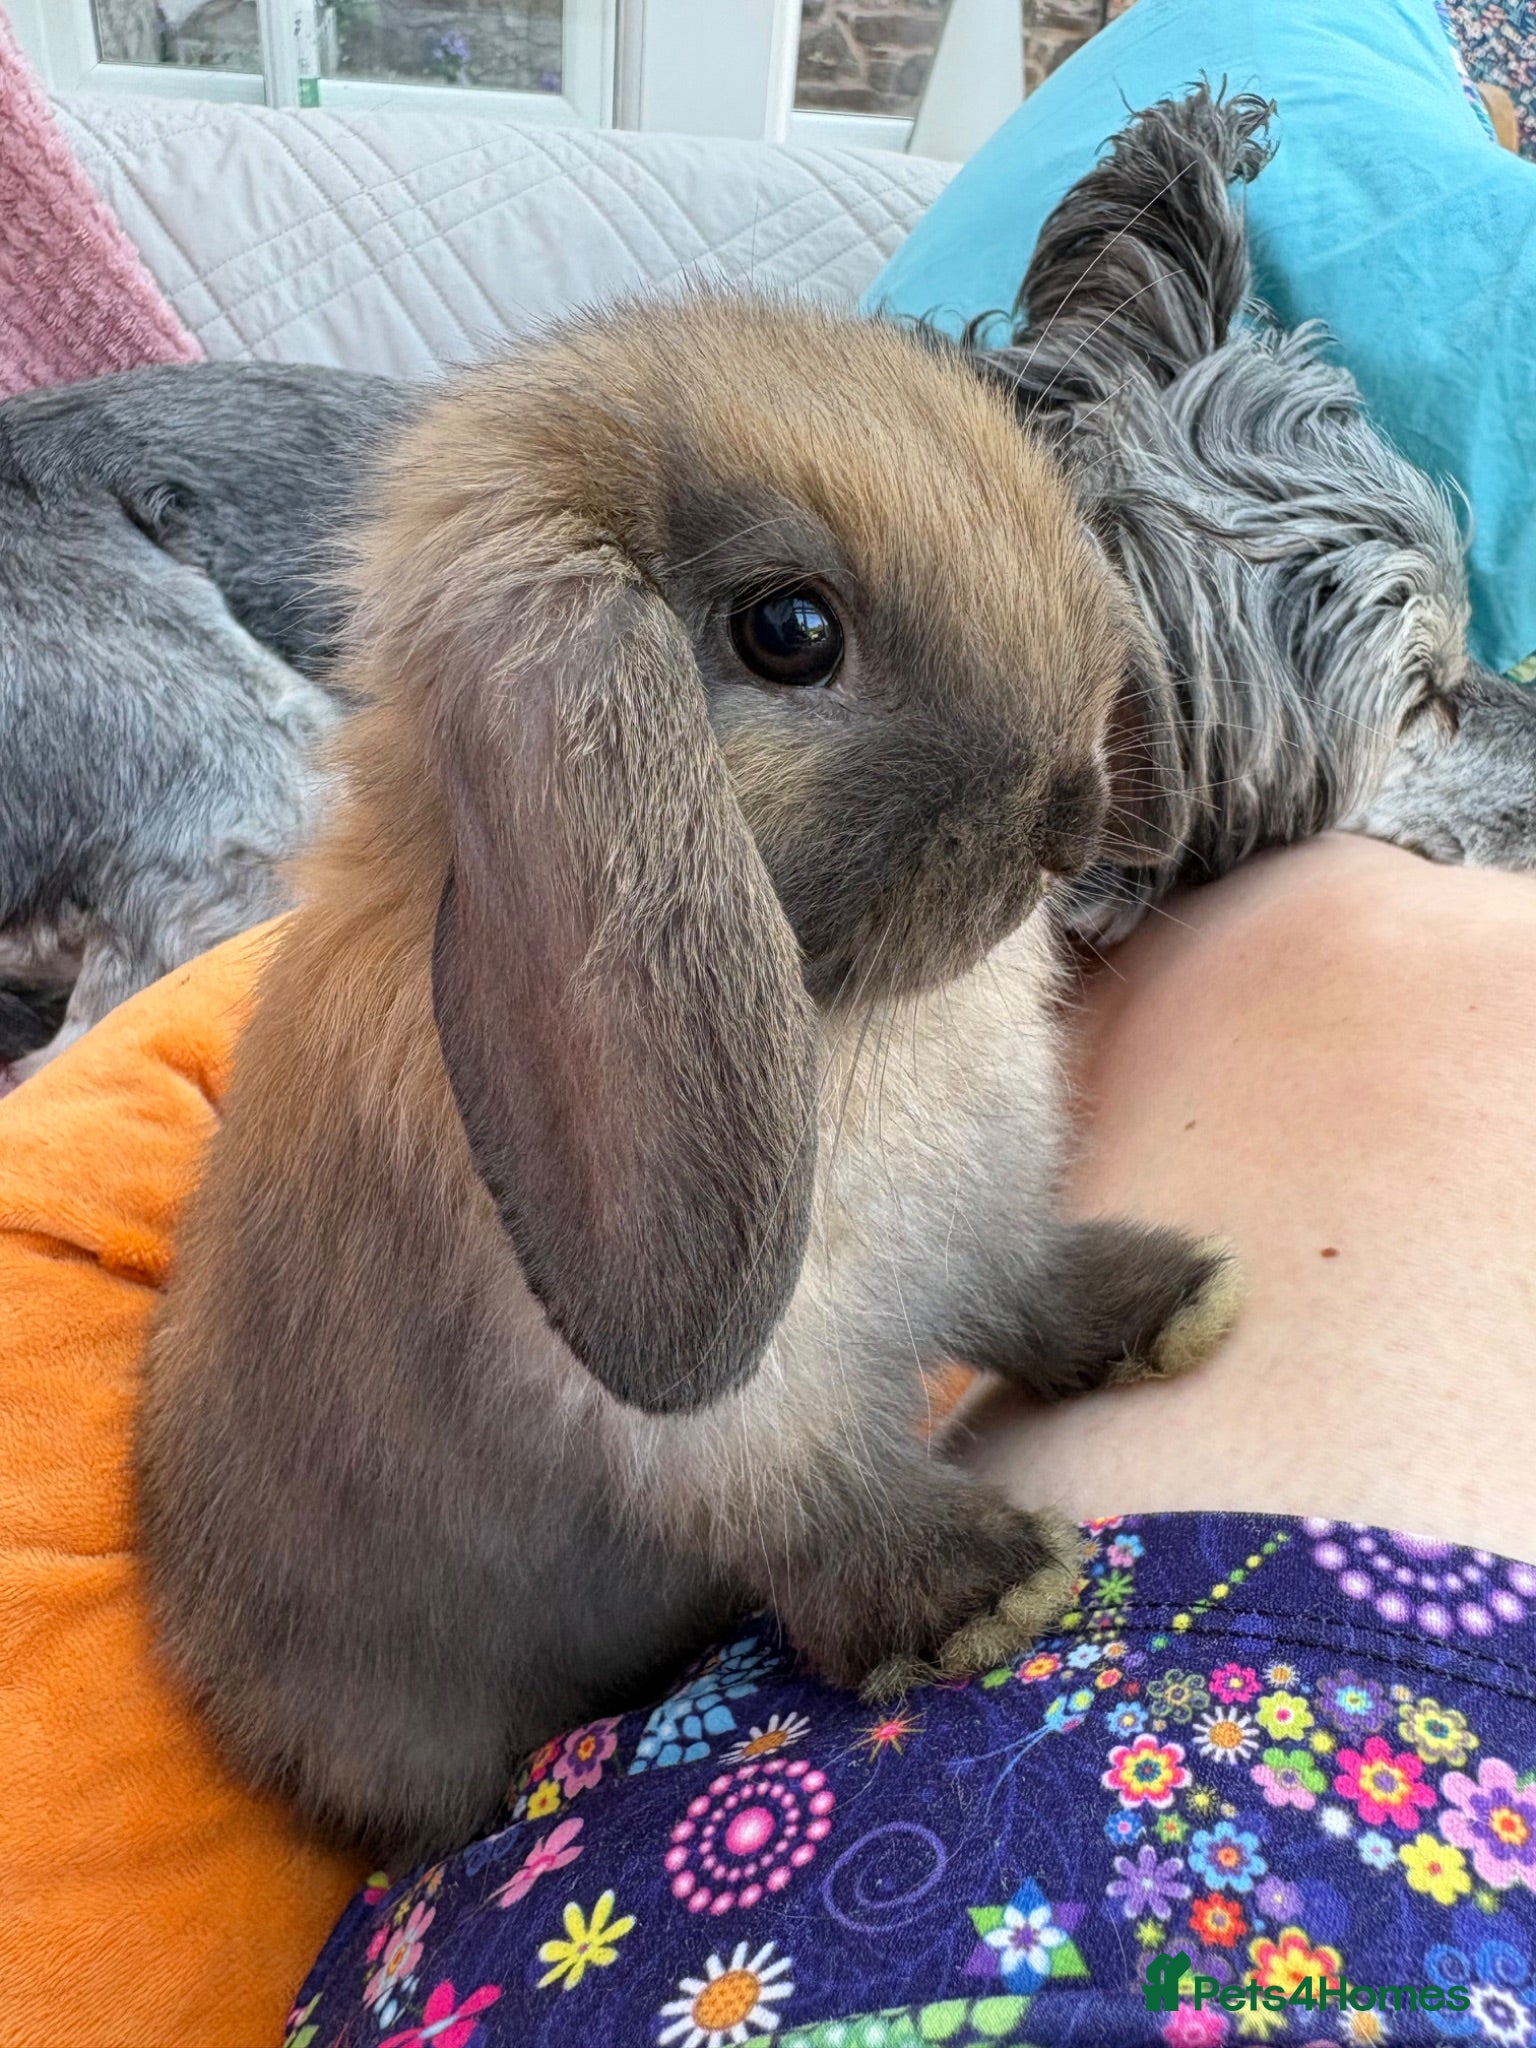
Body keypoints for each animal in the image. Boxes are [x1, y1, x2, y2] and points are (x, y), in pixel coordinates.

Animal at [136, 292, 1243, 1863]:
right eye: (789, 632)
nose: (1072, 811)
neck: (843, 1009)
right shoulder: (730, 1422)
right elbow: (825, 1510)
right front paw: (987, 1594)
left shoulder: (973, 1241)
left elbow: (1029, 1295)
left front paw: (1171, 1302)